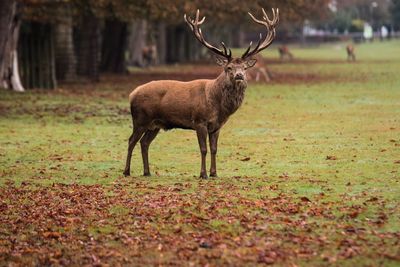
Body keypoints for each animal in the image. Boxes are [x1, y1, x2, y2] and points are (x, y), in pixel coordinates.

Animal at [123, 8, 280, 179]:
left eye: (245, 67)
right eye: (229, 67)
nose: (240, 75)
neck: (218, 106)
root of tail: (132, 94)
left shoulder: (217, 126)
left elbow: (214, 149)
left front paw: (214, 173)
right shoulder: (199, 121)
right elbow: (203, 149)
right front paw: (203, 174)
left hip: (155, 124)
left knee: (144, 143)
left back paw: (147, 172)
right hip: (140, 119)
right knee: (131, 141)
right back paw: (126, 171)